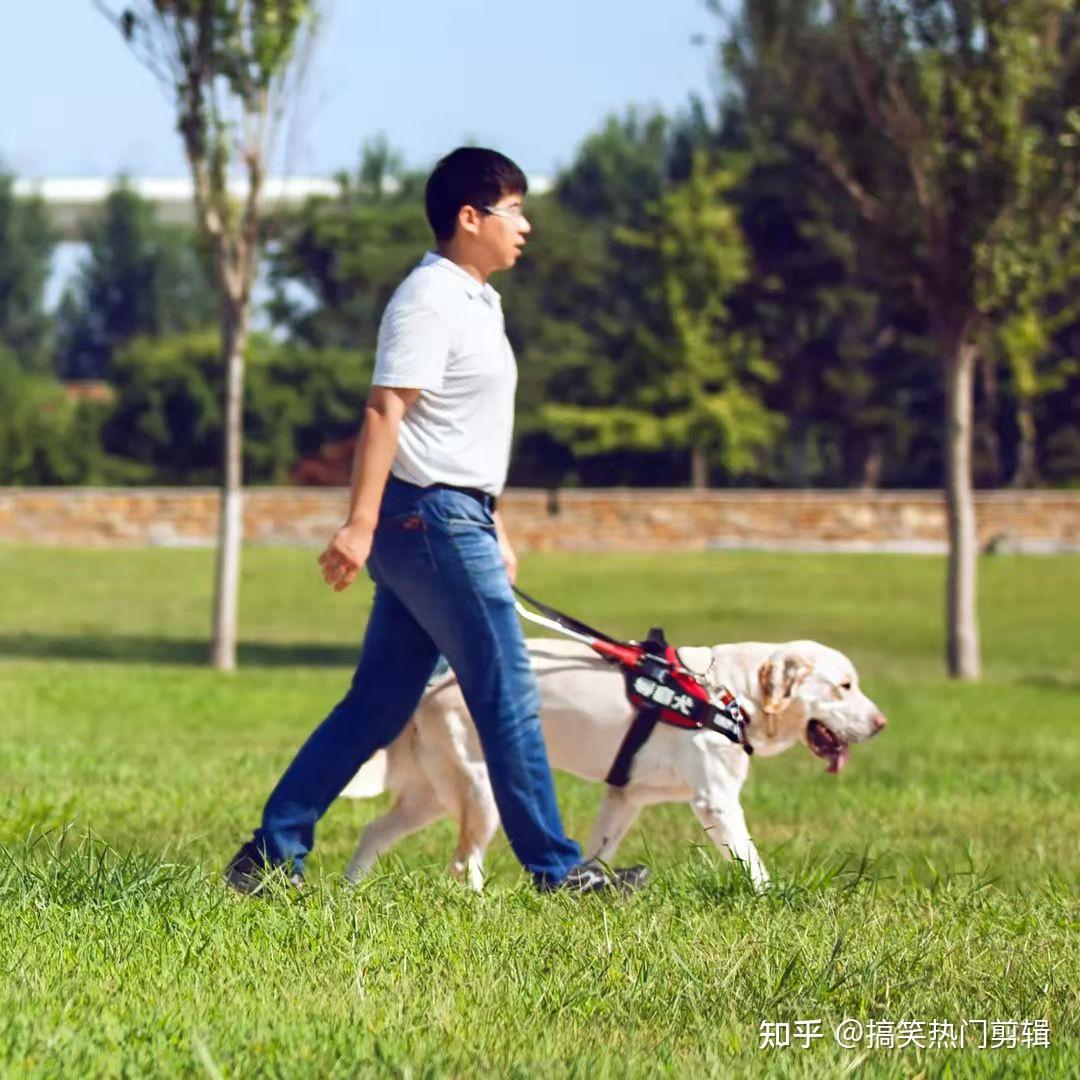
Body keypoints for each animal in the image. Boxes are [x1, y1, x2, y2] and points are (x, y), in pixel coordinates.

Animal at [339, 635, 885, 889]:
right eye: (844, 686)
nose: (881, 724)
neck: (730, 693)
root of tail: (436, 681)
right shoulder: (716, 802)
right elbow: (752, 863)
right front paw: (771, 898)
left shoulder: (624, 798)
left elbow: (598, 851)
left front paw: (587, 886)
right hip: (481, 787)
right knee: (462, 860)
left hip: (433, 794)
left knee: (375, 830)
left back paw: (350, 888)